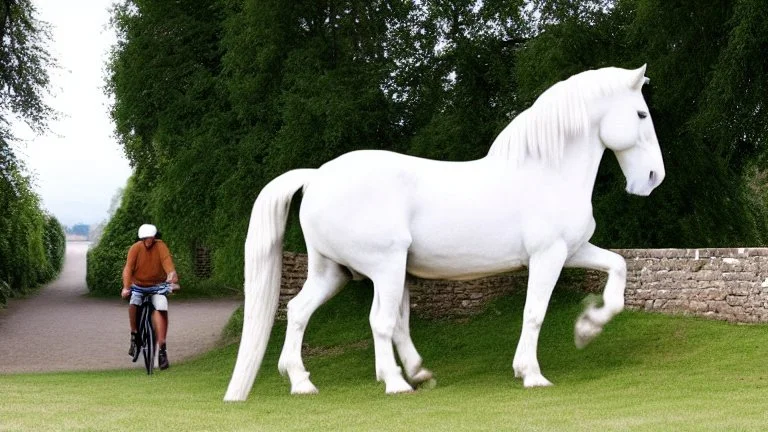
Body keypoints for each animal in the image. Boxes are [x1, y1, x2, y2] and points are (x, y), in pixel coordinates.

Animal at [224, 65, 664, 402]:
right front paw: (532, 374)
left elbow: (619, 268)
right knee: (380, 321)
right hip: (385, 267)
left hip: (334, 272)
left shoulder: (573, 251)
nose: (653, 178)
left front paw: (587, 328)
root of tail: (317, 176)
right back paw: (396, 383)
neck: (547, 171)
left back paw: (307, 382)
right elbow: (535, 312)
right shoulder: (548, 256)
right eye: (641, 115)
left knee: (300, 310)